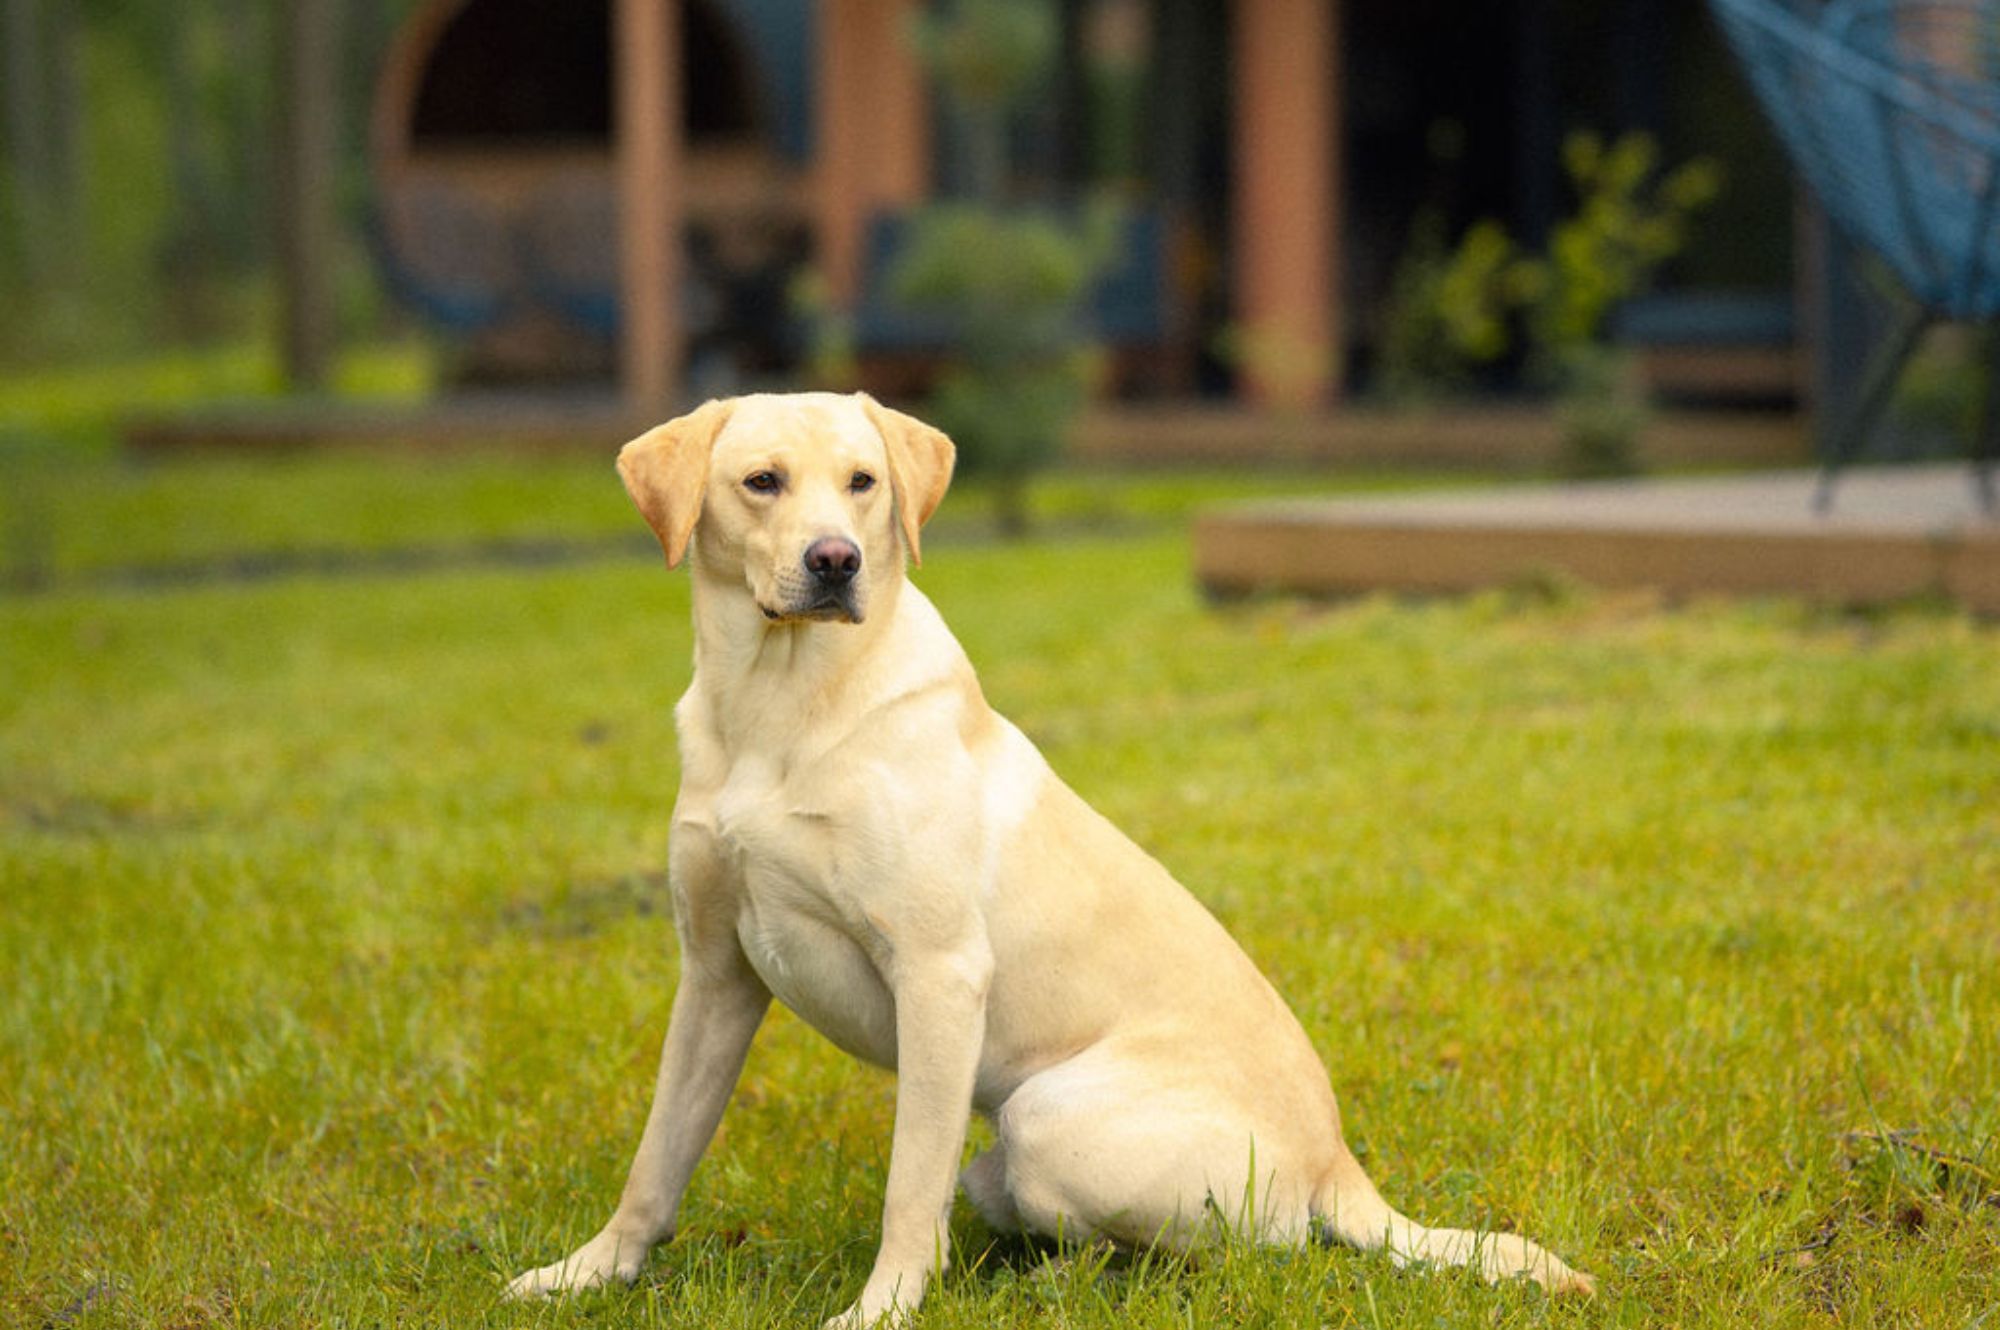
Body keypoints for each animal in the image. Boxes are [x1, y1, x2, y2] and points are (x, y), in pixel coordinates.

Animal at [505, 393, 1593, 1324]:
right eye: (761, 481)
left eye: (863, 482)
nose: (836, 561)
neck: (777, 701)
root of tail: (1338, 1161)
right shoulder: (715, 972)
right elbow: (657, 1156)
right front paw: (589, 1272)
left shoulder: (938, 976)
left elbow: (907, 1185)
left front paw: (882, 1309)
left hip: (1042, 1118)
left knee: (1226, 1251)